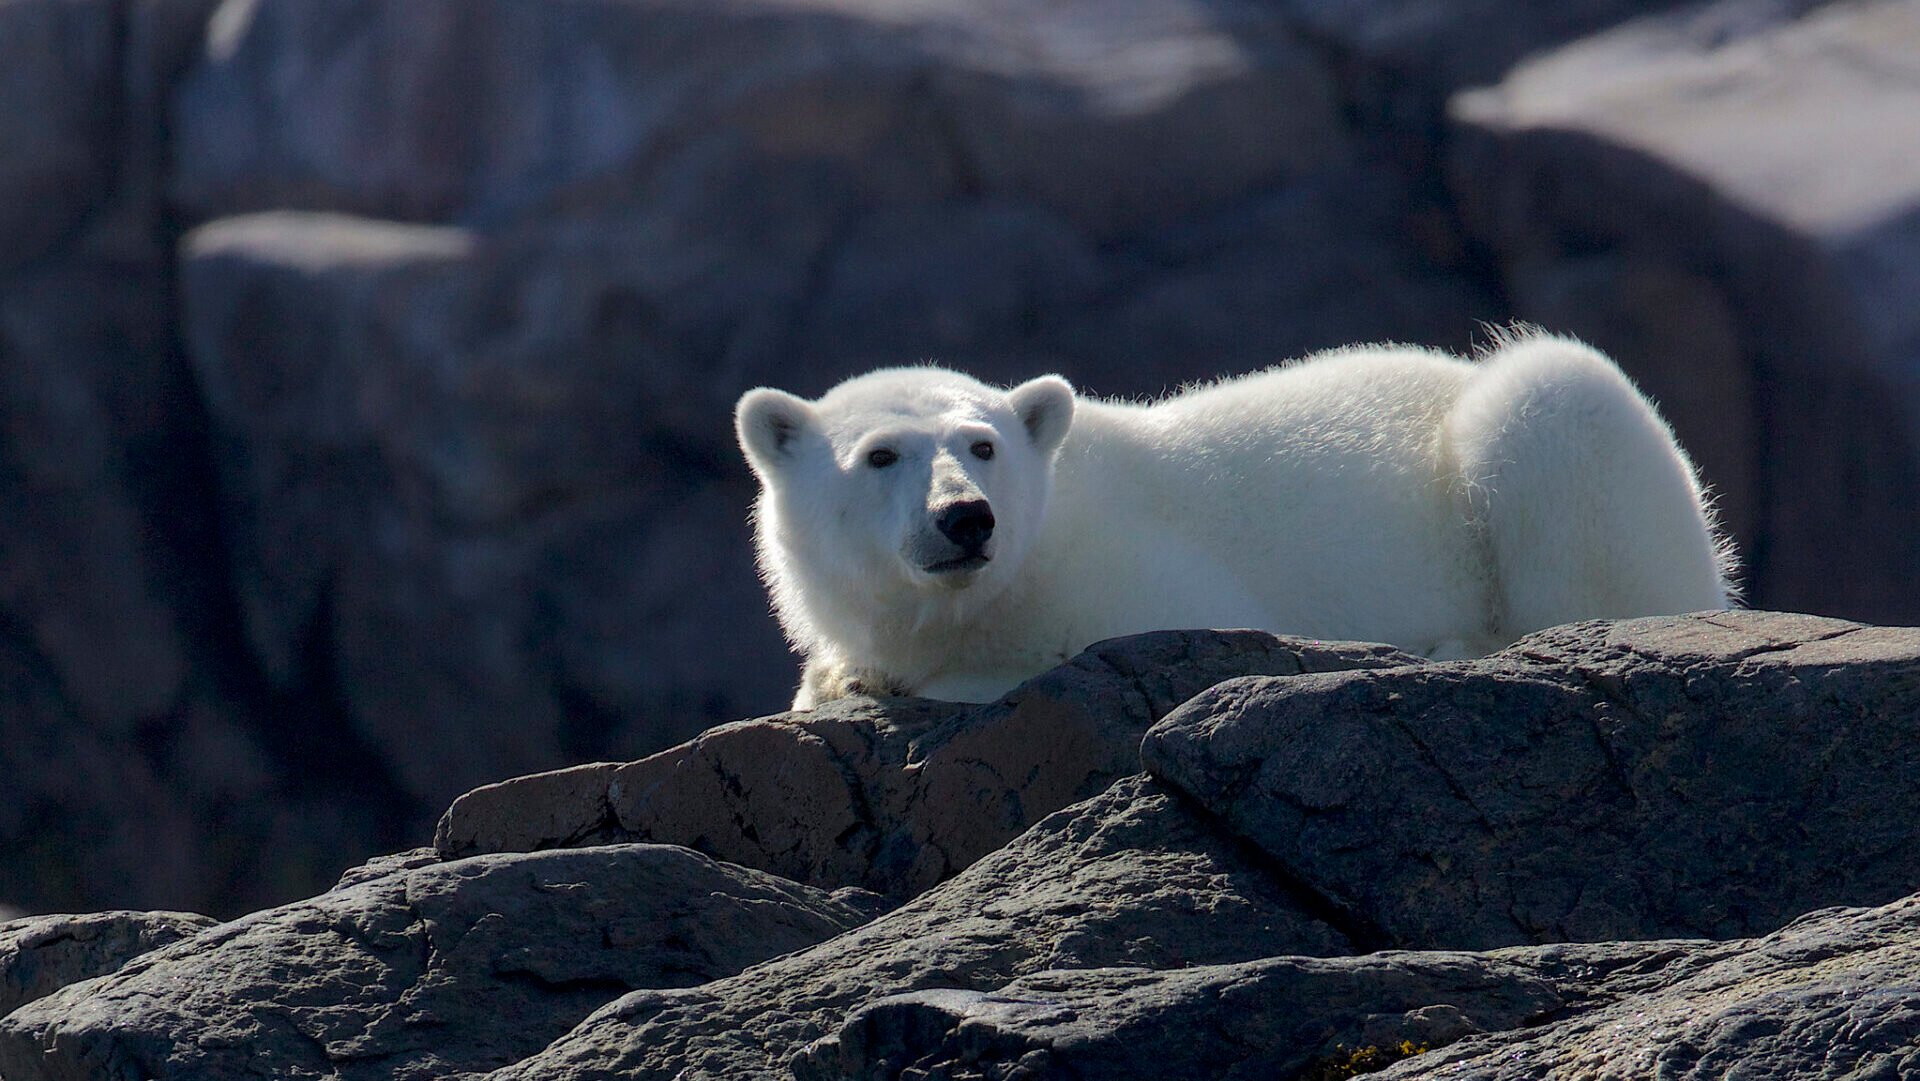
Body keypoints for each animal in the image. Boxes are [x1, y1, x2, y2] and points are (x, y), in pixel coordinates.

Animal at [733, 334, 1743, 714]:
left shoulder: (1137, 578)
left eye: (981, 446)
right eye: (880, 455)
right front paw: (837, 677)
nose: (966, 519)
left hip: (1548, 444)